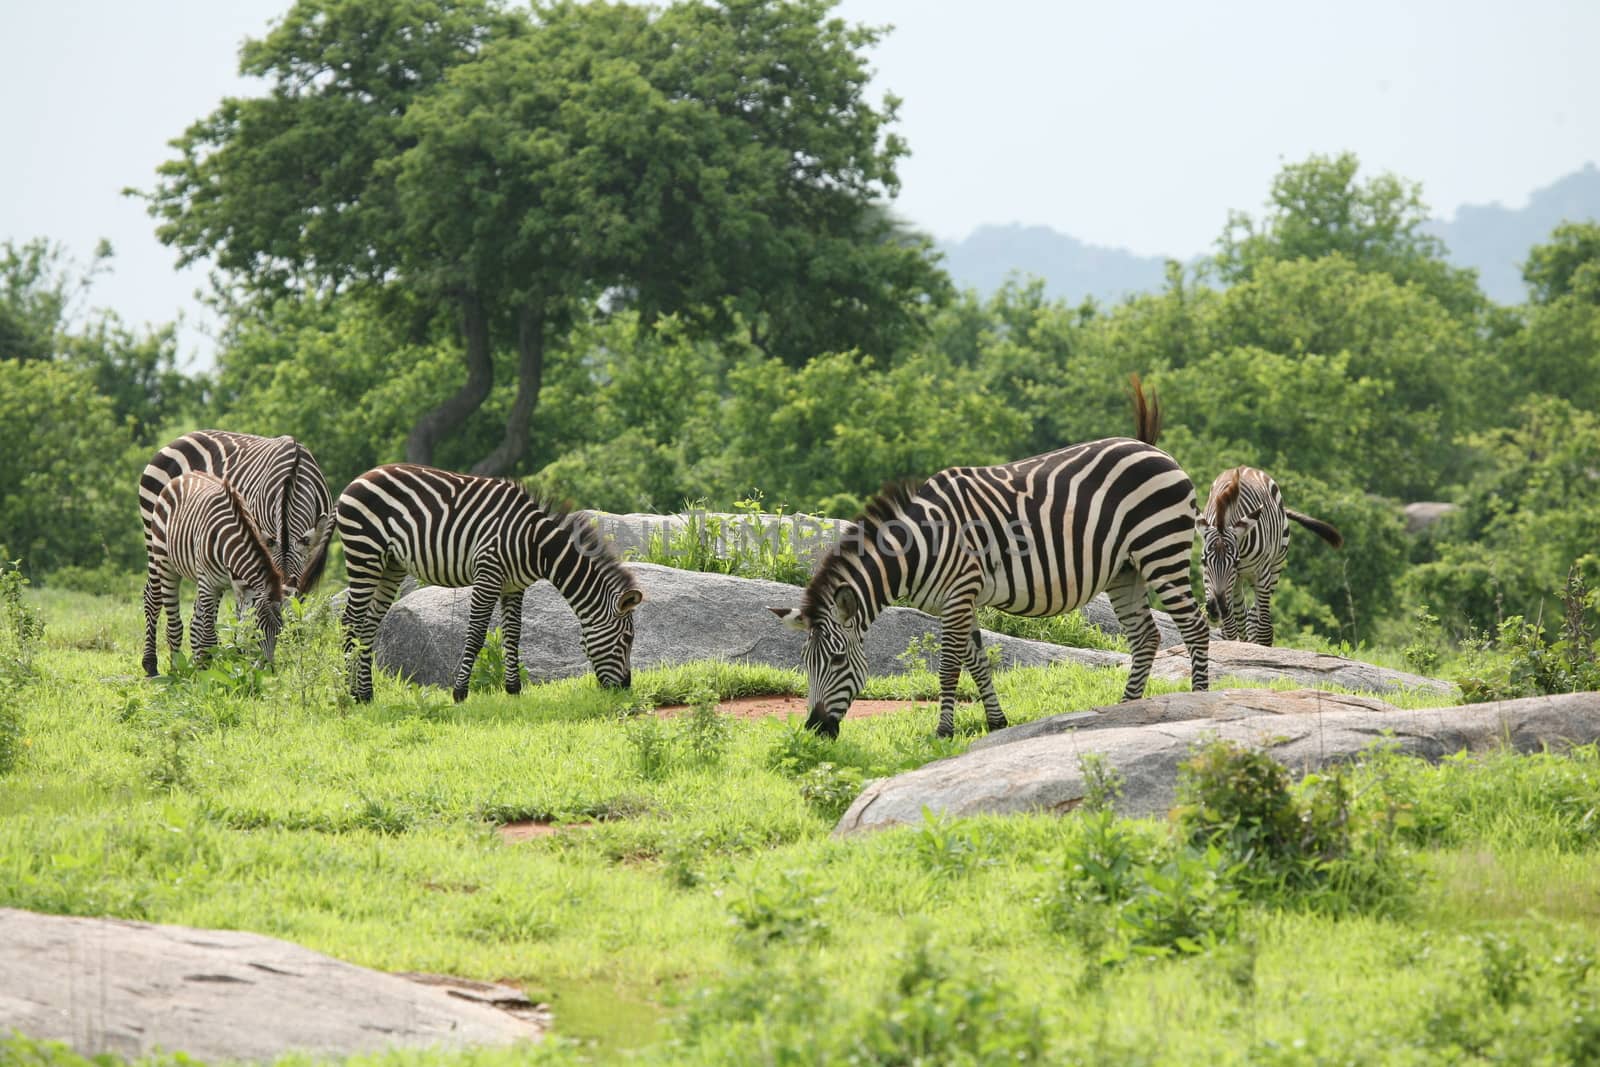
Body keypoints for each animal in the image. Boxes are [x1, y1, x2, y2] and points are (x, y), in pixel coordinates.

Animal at [144, 473, 288, 675]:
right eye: (254, 634)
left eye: (280, 632)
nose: (268, 673)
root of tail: (184, 476)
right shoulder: (208, 583)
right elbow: (209, 637)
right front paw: (207, 672)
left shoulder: (232, 586)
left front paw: (207, 667)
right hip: (163, 560)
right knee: (166, 616)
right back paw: (169, 670)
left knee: (195, 622)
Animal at [337, 463, 643, 703]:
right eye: (627, 639)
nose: (625, 687)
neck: (536, 546)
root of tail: (361, 476)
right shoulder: (488, 574)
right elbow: (476, 634)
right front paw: (460, 692)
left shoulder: (514, 586)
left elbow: (513, 635)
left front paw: (513, 689)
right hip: (364, 554)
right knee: (350, 620)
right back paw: (347, 692)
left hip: (391, 565)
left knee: (368, 625)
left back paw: (365, 694)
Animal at [768, 379, 1203, 739]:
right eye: (804, 661)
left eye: (838, 659)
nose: (815, 730)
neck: (920, 546)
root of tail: (1151, 448)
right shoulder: (963, 599)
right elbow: (976, 661)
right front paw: (997, 722)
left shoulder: (959, 594)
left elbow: (948, 666)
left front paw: (943, 731)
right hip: (1125, 569)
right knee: (1146, 636)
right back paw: (1127, 709)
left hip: (1161, 549)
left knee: (1195, 627)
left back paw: (1199, 700)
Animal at [1196, 463, 1344, 646]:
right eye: (1203, 562)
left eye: (1235, 562)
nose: (1216, 608)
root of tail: (1247, 467)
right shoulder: (1227, 583)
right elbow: (1231, 628)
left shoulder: (1261, 574)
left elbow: (1265, 629)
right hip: (1238, 583)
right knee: (1242, 616)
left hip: (1274, 568)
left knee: (1252, 617)